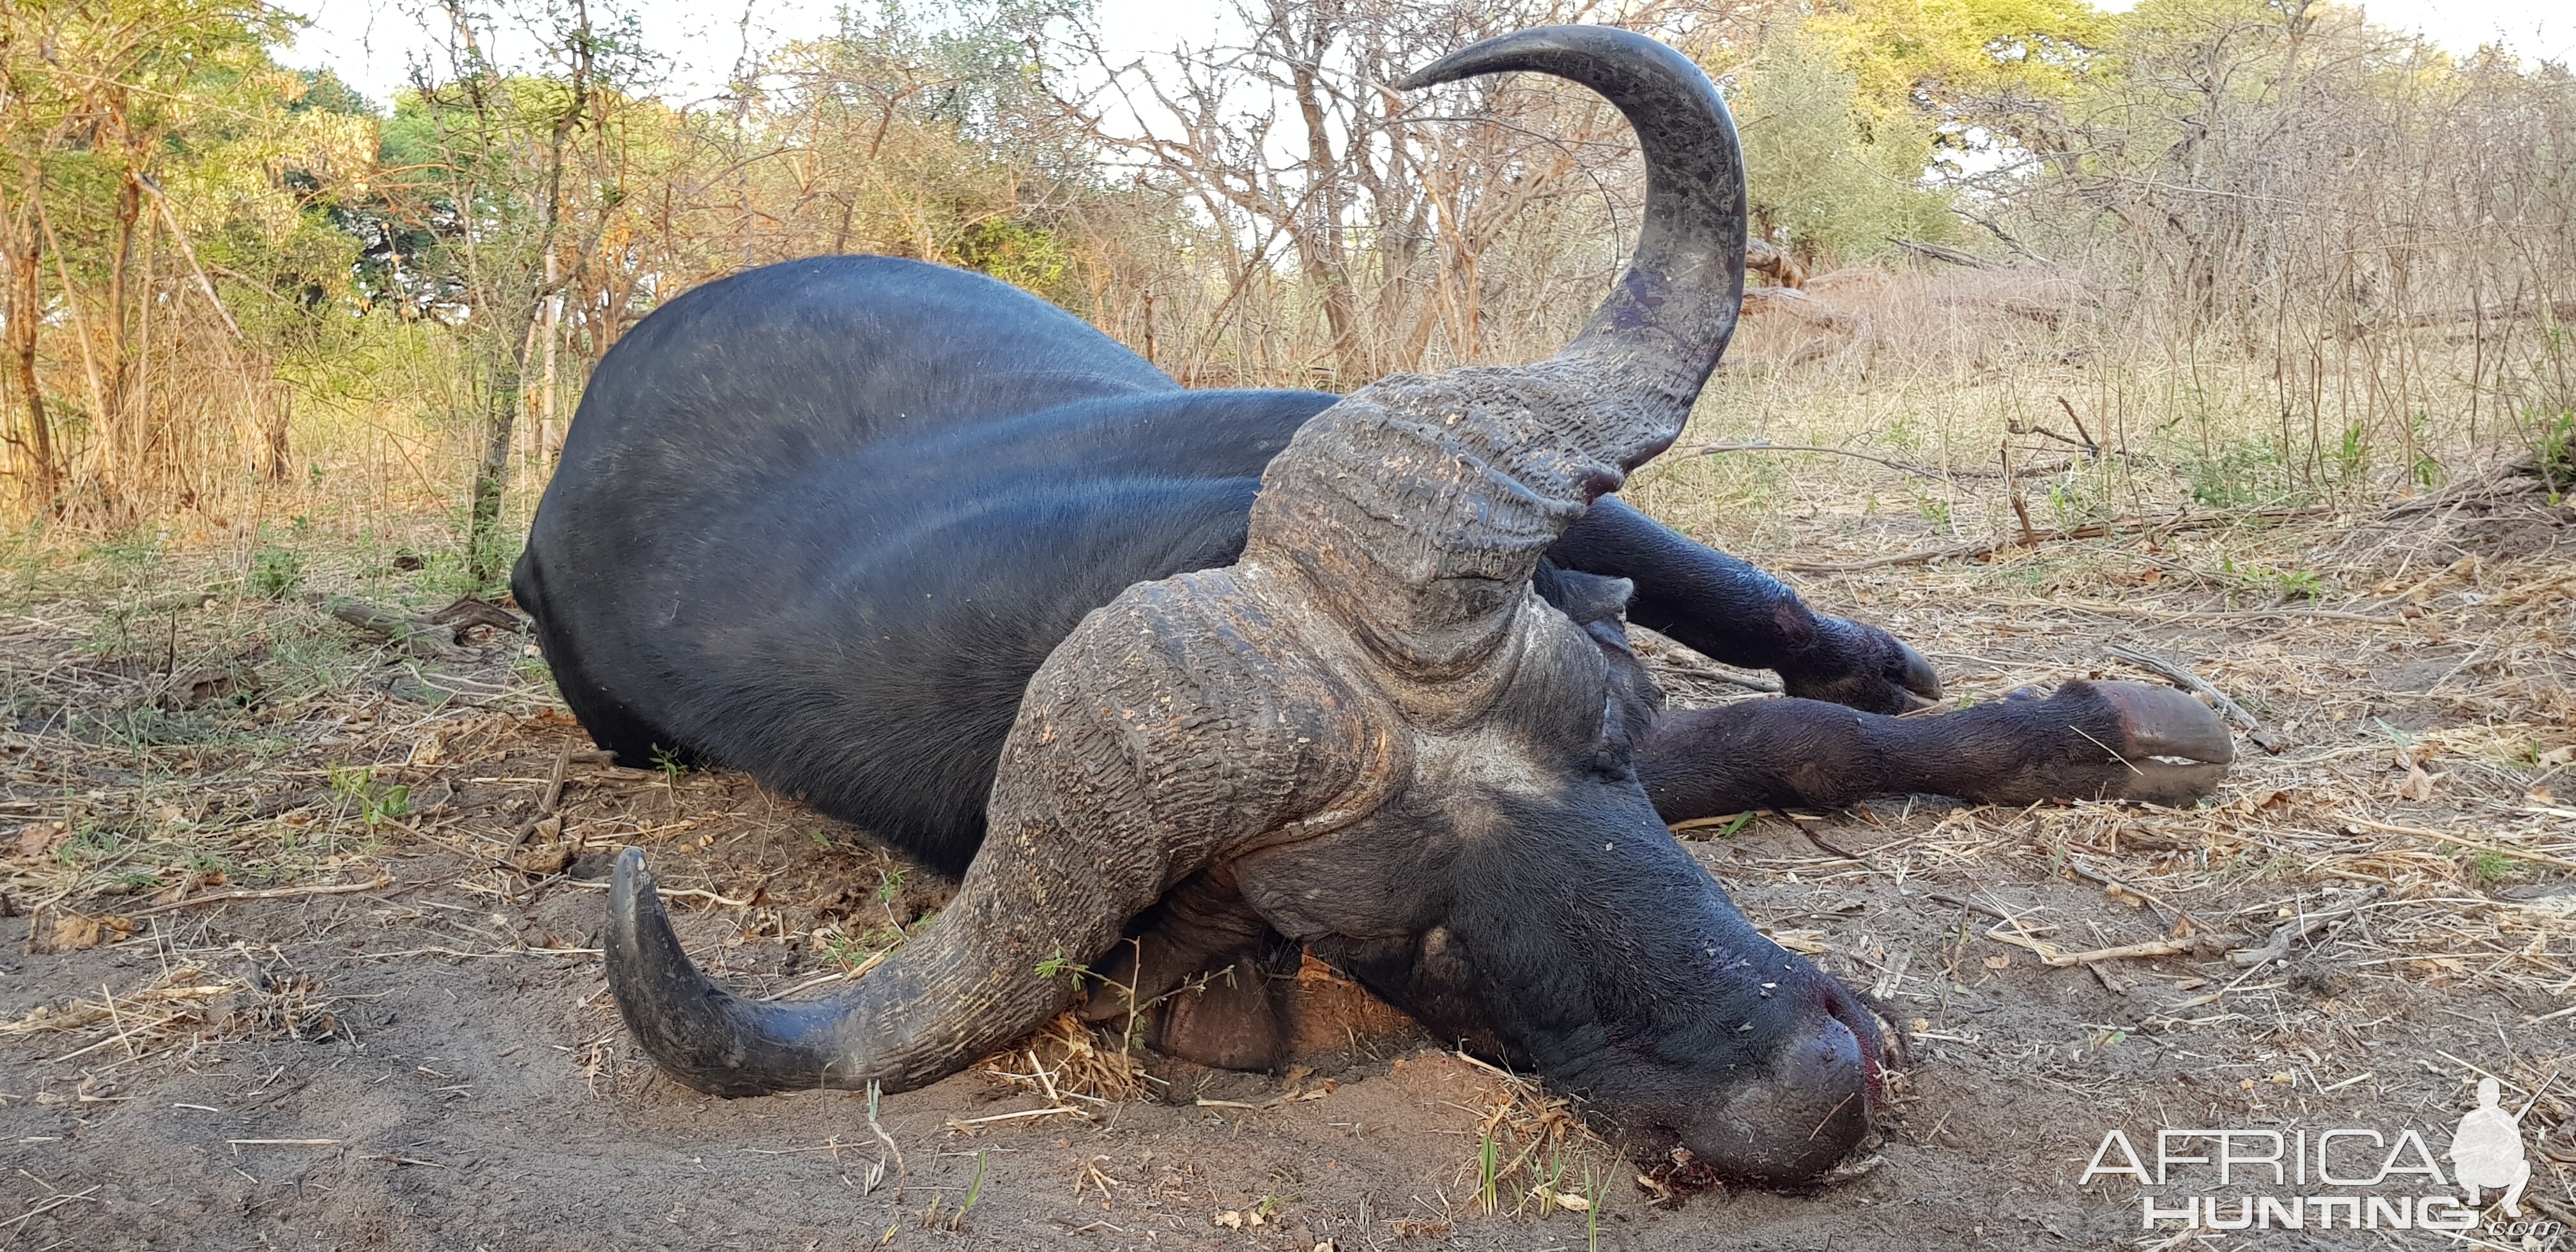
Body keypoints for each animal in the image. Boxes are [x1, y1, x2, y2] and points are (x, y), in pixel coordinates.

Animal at [507, 27, 2235, 1185]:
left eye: (1604, 757)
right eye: (1401, 936)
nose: (1804, 1093)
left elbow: (1788, 703)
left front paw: (2110, 721)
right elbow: (1768, 749)